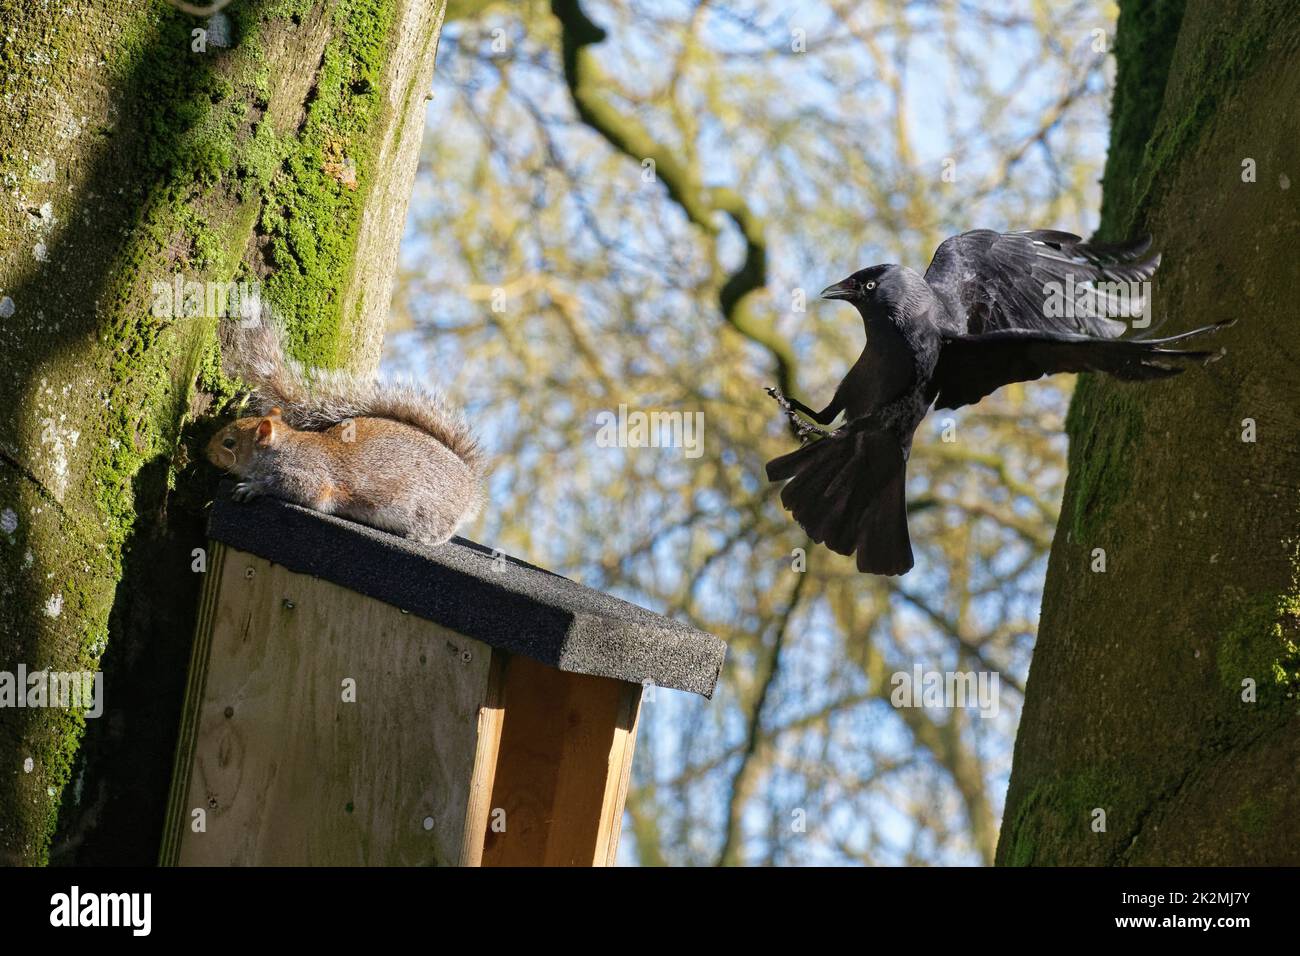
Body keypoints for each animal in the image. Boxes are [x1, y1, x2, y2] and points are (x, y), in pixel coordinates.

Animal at [205, 321, 486, 546]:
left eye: (229, 443)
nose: (206, 452)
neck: (283, 447)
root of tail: (469, 485)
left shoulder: (311, 475)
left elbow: (300, 489)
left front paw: (253, 487)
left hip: (431, 511)